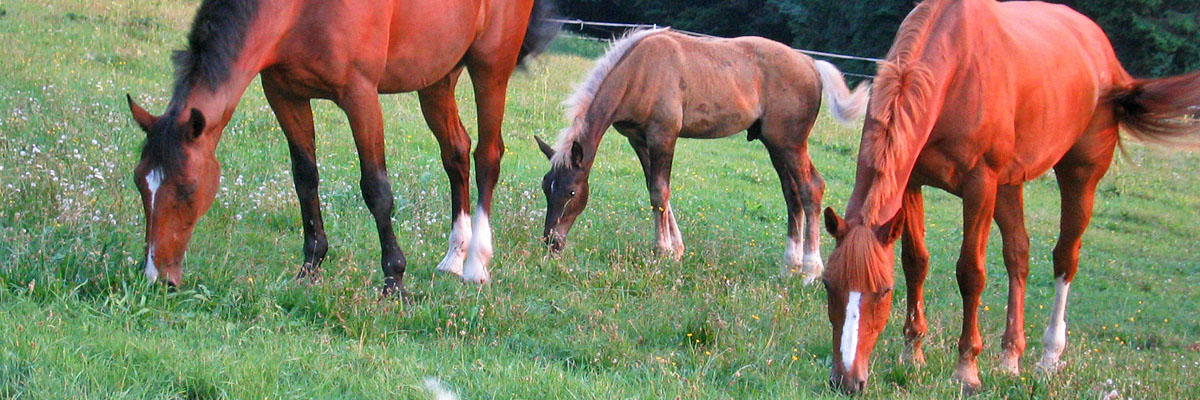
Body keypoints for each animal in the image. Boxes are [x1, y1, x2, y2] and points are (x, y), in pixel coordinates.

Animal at [126, 0, 556, 293]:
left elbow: (377, 189)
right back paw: (454, 256)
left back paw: (476, 264)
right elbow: (305, 178)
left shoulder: (360, 95)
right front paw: (310, 266)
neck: (301, 10)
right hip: (436, 78)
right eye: (139, 183)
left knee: (487, 156)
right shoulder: (284, 94)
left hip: (490, 70)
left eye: (187, 190)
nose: (156, 278)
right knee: (456, 154)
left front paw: (394, 281)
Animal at [532, 28, 864, 279]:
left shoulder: (663, 135)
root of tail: (811, 64)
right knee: (791, 194)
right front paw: (676, 250)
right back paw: (789, 265)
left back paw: (810, 269)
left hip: (791, 142)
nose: (552, 243)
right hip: (775, 144)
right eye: (546, 188)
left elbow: (659, 192)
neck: (639, 71)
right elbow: (655, 189)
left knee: (811, 188)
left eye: (572, 192)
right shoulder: (638, 139)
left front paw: (662, 251)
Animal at [820, 0, 1200, 391]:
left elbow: (970, 272)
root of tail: (1107, 58)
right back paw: (1010, 357)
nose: (846, 379)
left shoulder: (979, 186)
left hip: (1079, 176)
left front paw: (967, 368)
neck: (956, 68)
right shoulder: (911, 183)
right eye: (828, 284)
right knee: (1018, 254)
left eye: (882, 291)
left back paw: (1049, 356)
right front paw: (912, 353)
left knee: (1065, 258)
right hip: (1009, 187)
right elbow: (916, 262)